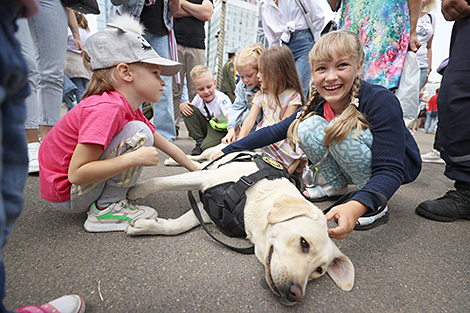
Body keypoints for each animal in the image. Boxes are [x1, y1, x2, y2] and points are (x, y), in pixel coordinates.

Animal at [126, 151, 354, 304]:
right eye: (304, 243)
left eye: (318, 270)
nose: (295, 293)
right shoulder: (206, 179)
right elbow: (161, 182)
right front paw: (136, 191)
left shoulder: (208, 211)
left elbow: (178, 226)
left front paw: (145, 226)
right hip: (211, 159)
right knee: (199, 158)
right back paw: (174, 159)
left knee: (197, 162)